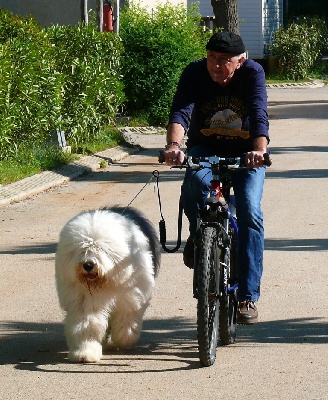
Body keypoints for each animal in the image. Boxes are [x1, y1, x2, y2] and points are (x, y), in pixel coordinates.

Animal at [55, 206, 161, 362]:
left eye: (100, 248)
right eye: (82, 249)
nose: (88, 265)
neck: (104, 281)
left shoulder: (130, 298)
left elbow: (126, 322)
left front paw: (122, 339)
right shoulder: (86, 302)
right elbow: (88, 325)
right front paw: (85, 353)